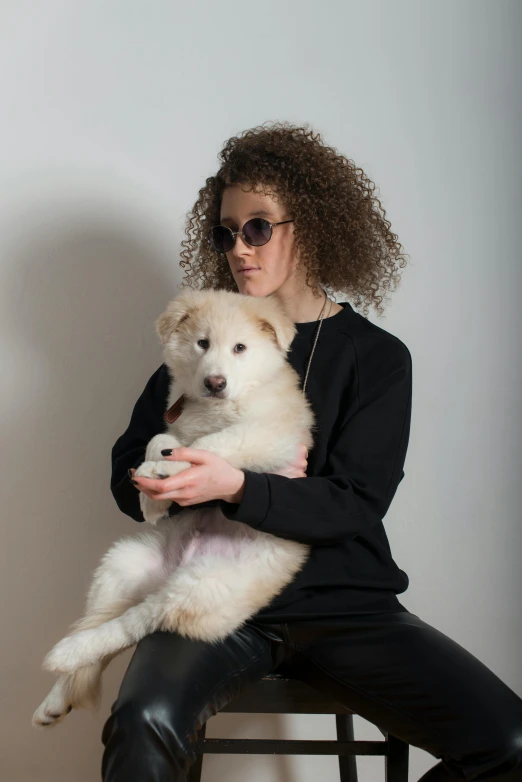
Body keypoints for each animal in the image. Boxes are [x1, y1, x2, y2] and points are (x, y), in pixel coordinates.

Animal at [34, 290, 314, 732]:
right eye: (202, 343)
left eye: (240, 348)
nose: (215, 383)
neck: (218, 406)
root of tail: (168, 576)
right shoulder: (178, 427)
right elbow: (160, 438)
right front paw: (152, 496)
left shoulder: (270, 436)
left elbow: (212, 446)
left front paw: (165, 473)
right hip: (124, 564)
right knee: (109, 627)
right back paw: (56, 698)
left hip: (201, 586)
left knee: (132, 625)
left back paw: (67, 652)